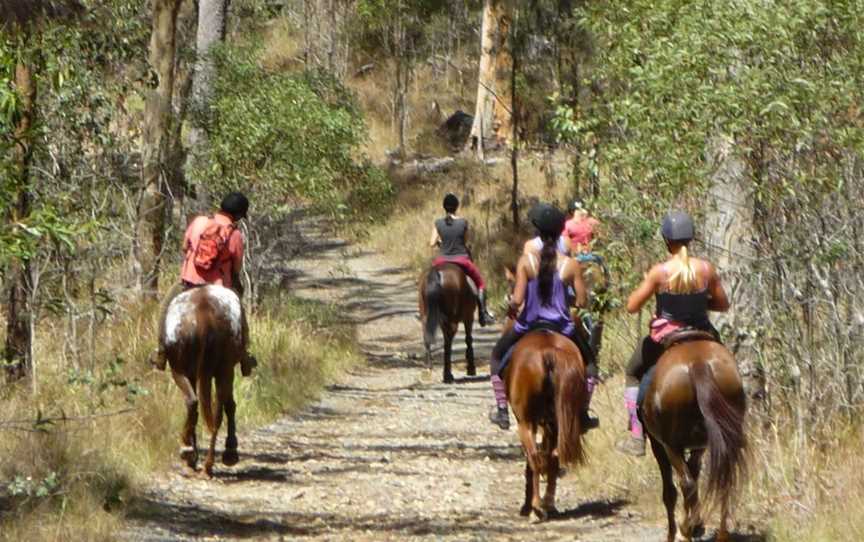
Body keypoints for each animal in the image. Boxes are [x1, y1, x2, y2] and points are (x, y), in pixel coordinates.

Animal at [500, 328, 588, 524]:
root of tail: (549, 352)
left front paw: (527, 507)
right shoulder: (549, 425)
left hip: (526, 423)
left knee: (535, 458)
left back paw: (536, 507)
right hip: (557, 422)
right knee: (554, 456)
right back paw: (547, 504)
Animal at [640, 336, 748, 542]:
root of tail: (698, 364)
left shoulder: (658, 445)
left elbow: (671, 490)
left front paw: (675, 532)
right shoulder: (699, 446)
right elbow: (695, 473)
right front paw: (698, 525)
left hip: (671, 446)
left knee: (685, 484)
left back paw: (686, 530)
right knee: (724, 479)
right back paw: (720, 534)